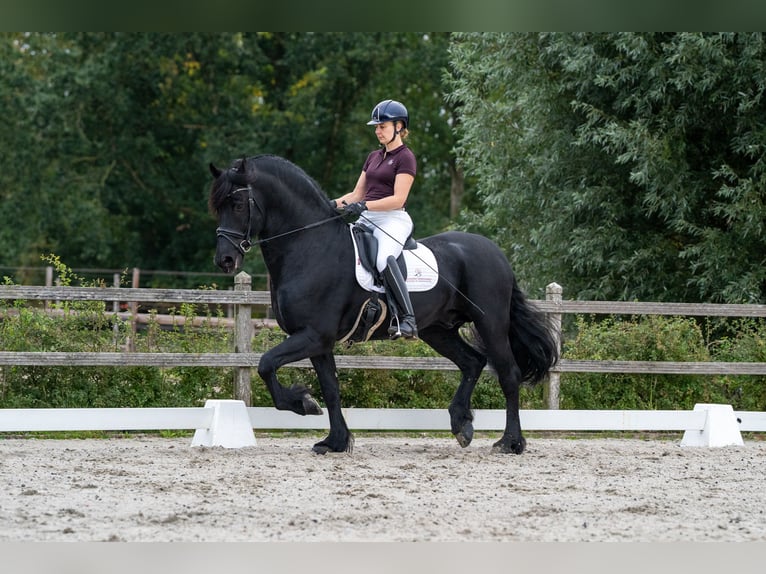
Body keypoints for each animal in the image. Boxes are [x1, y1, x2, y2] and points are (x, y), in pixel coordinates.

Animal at [209, 154, 558, 455]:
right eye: (217, 206)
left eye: (237, 204)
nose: (225, 260)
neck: (310, 247)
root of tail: (496, 252)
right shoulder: (319, 341)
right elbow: (331, 388)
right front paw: (335, 441)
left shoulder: (313, 335)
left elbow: (266, 364)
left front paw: (303, 403)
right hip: (437, 329)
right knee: (472, 362)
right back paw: (462, 425)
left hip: (491, 323)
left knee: (508, 374)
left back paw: (510, 442)